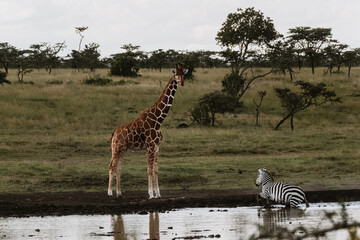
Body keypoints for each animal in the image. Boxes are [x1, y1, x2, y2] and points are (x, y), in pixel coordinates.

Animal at [108, 63, 188, 199]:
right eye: (176, 74)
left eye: (184, 74)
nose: (181, 82)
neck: (158, 120)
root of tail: (114, 133)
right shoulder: (150, 146)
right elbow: (149, 169)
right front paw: (150, 194)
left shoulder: (157, 147)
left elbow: (155, 169)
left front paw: (158, 193)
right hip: (117, 148)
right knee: (111, 166)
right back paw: (109, 192)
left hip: (123, 149)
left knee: (118, 167)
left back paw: (119, 193)